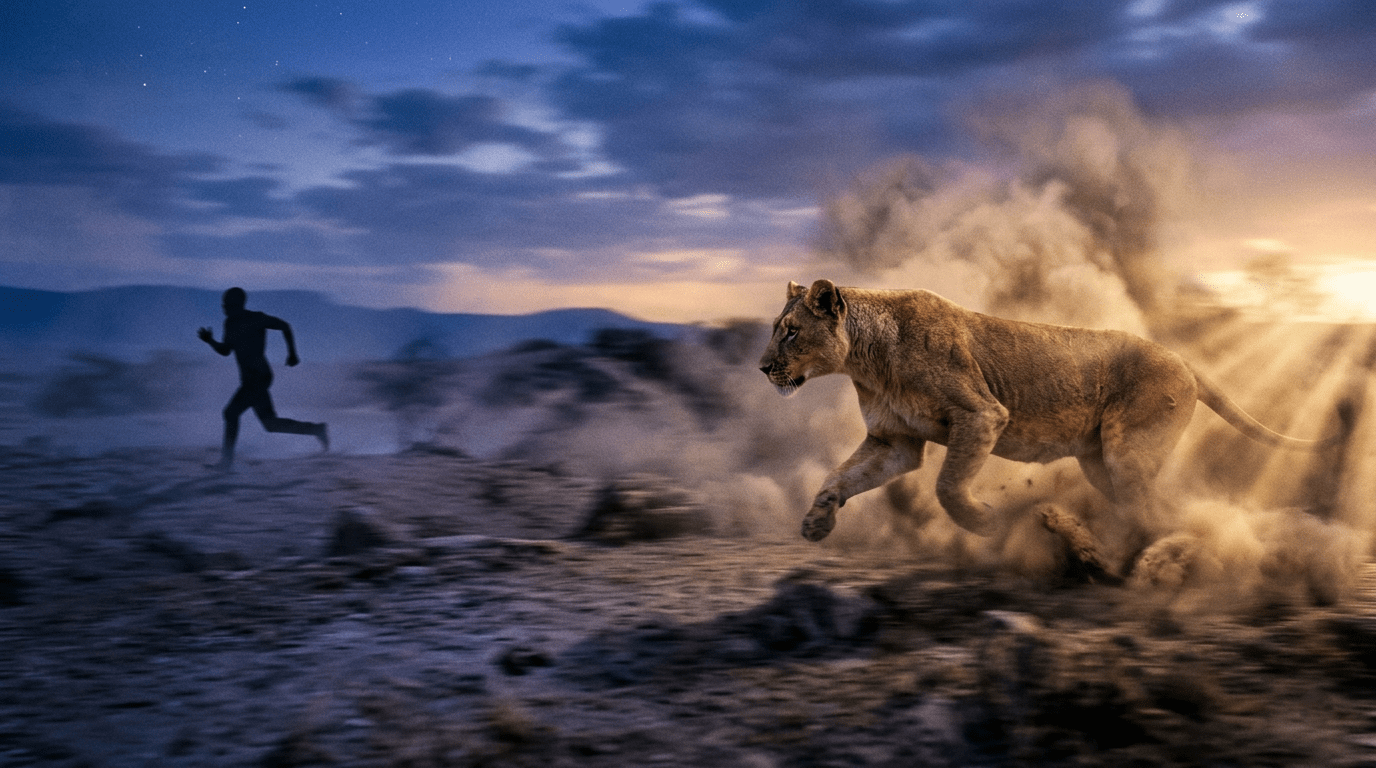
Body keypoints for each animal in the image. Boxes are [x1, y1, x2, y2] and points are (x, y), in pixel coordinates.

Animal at [759, 279, 1318, 579]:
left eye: (790, 332)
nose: (762, 368)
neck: (867, 360)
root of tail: (1184, 359)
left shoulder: (982, 414)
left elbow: (947, 487)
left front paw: (986, 523)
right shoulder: (894, 441)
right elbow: (839, 477)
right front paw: (817, 522)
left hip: (1127, 451)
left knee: (1156, 510)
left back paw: (1139, 562)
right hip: (1099, 462)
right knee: (1147, 508)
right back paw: (1099, 555)